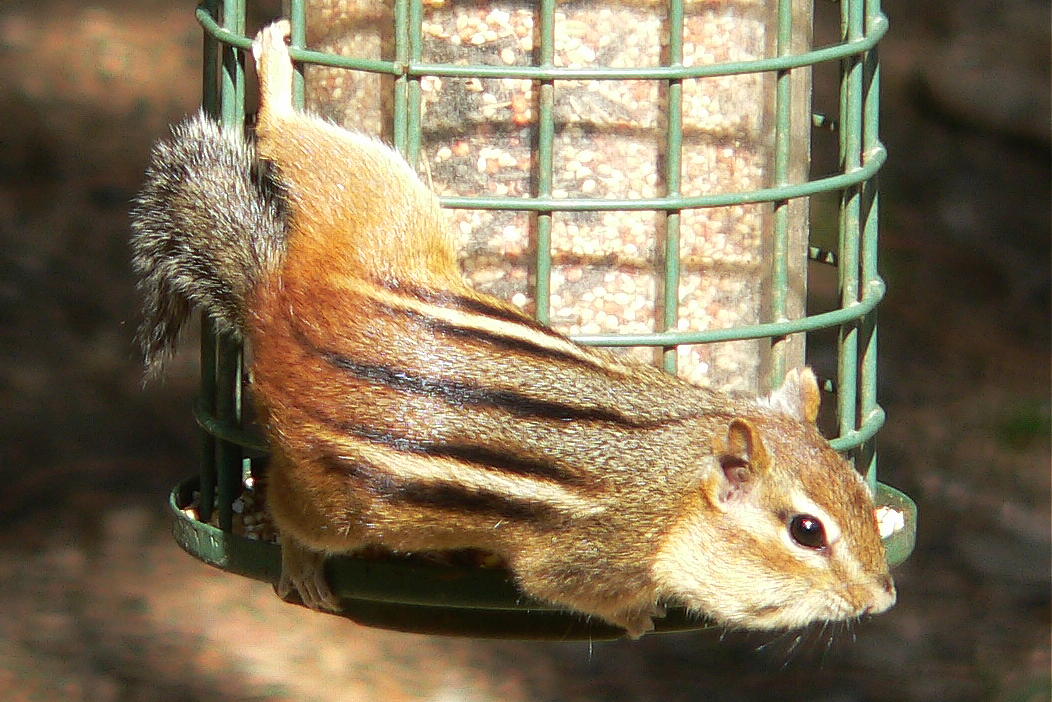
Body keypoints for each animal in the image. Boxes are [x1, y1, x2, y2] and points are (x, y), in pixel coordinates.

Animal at [130, 20, 895, 638]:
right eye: (806, 532)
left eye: (860, 495)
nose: (883, 597)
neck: (674, 482)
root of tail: (274, 299)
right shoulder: (587, 558)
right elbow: (569, 589)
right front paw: (639, 619)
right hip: (341, 493)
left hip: (382, 216)